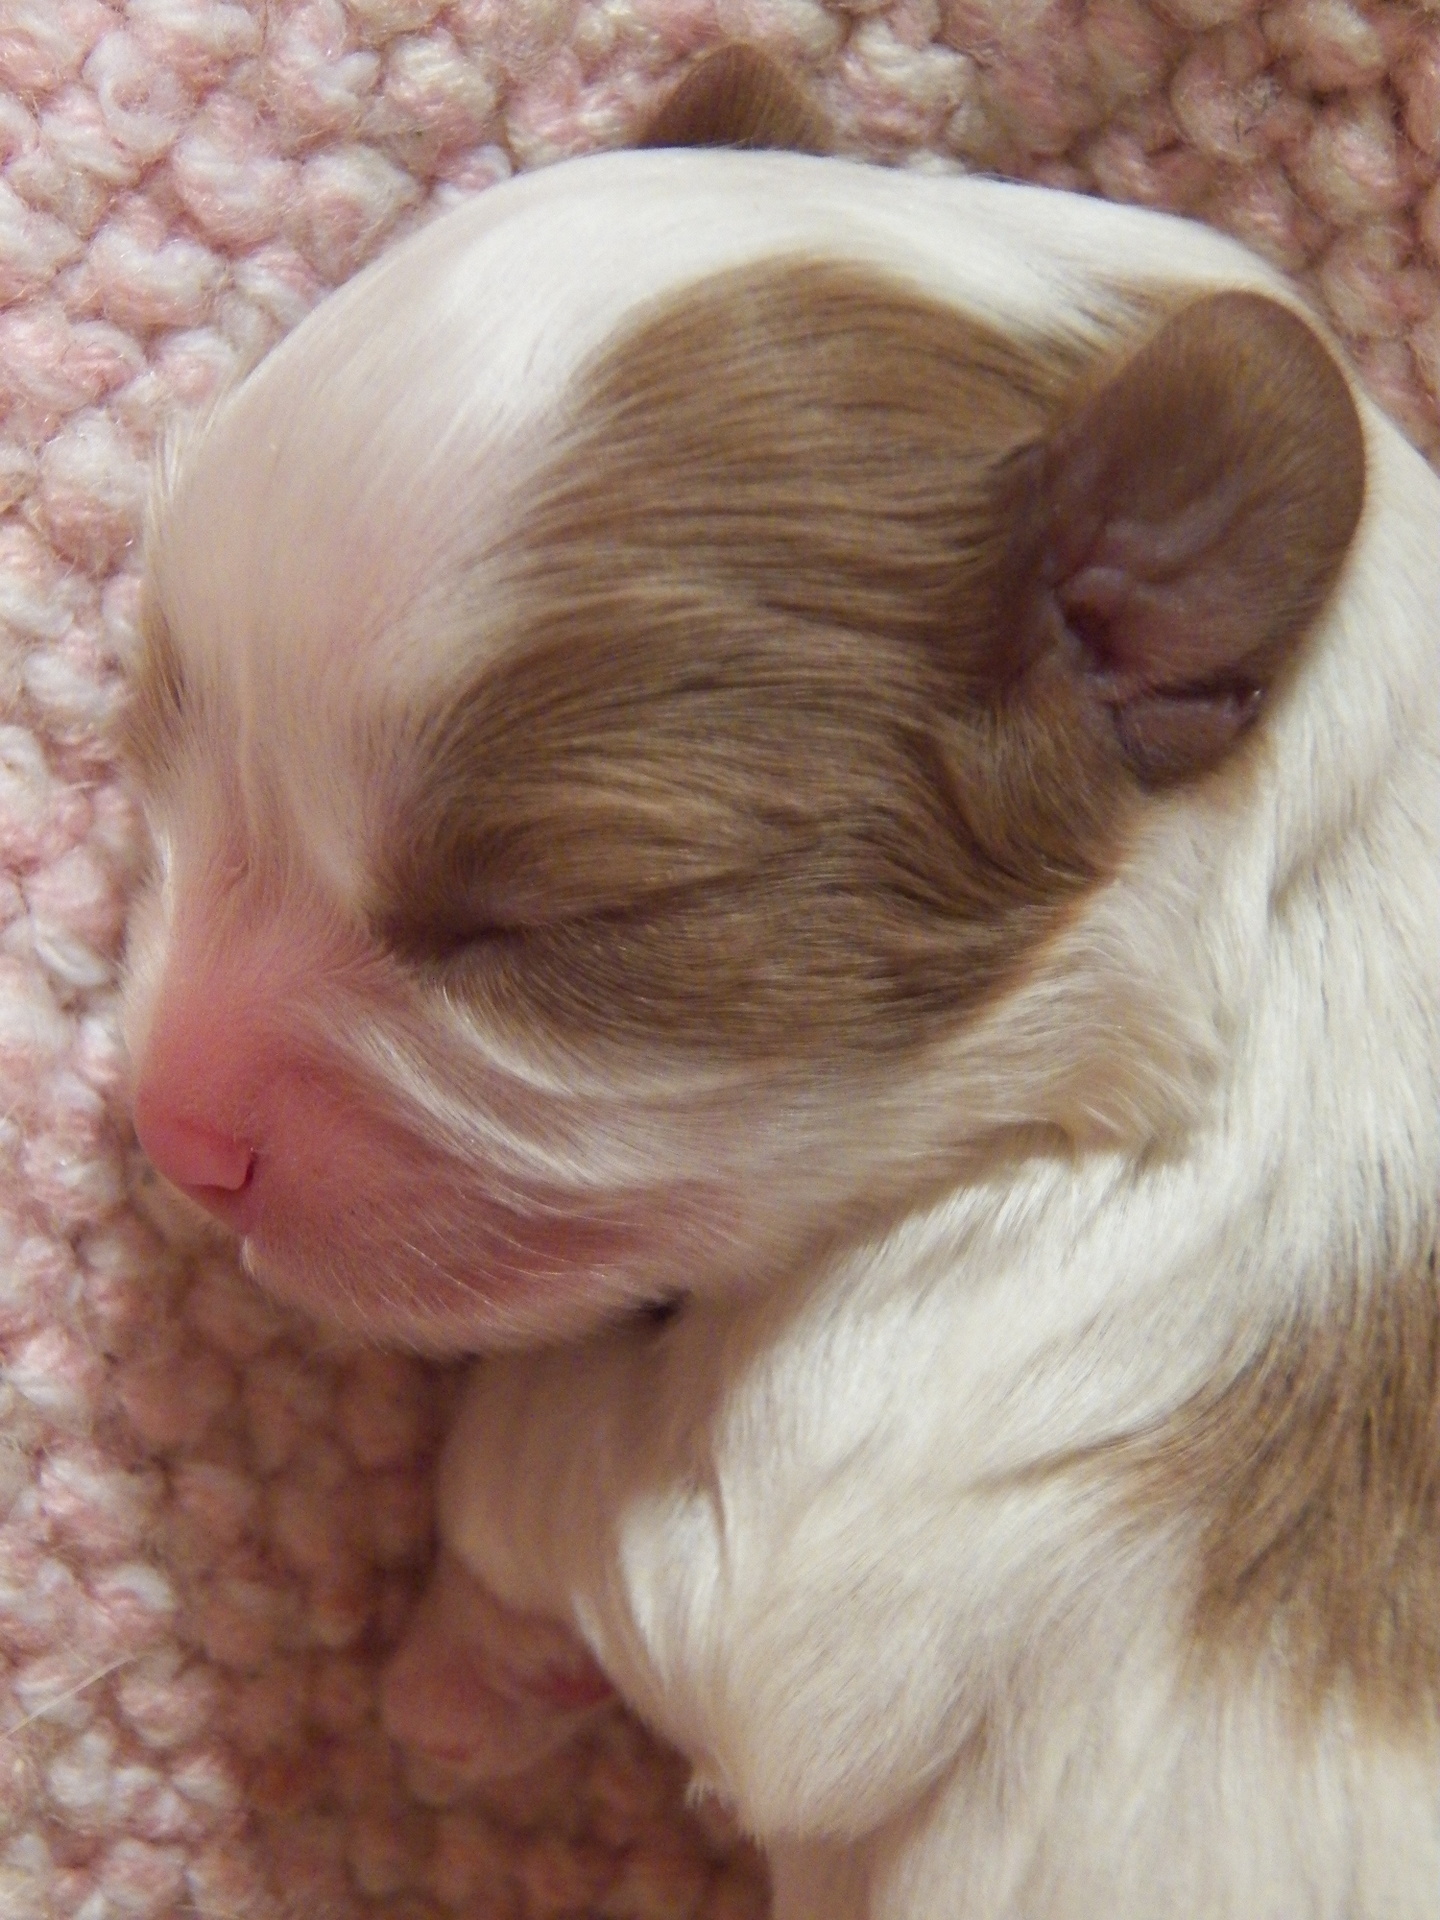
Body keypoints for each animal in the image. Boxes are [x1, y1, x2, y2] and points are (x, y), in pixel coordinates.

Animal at [120, 46, 1440, 1920]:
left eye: (546, 917)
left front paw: (455, 1680)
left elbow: (561, 1468)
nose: (171, 1135)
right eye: (158, 725)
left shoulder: (893, 1437)